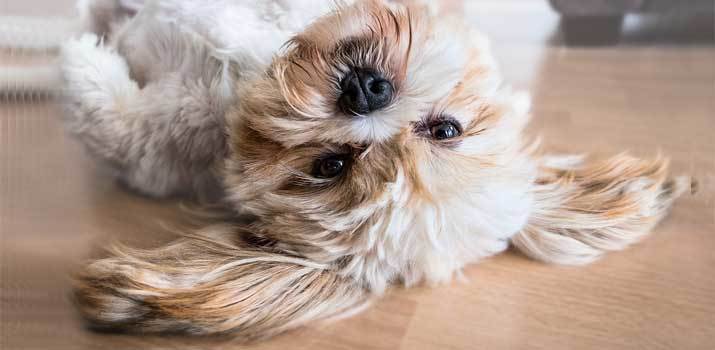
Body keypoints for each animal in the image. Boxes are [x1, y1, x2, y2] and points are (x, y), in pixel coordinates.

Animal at [60, 0, 692, 340]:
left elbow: (107, 112)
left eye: (330, 165)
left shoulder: (153, 145)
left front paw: (76, 55)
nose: (365, 89)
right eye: (446, 129)